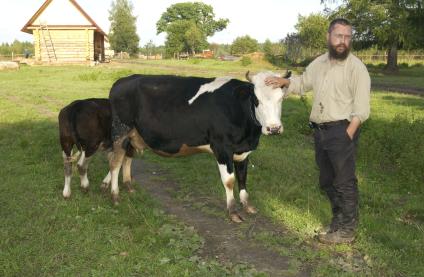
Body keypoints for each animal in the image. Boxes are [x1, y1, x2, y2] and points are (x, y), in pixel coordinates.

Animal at [107, 71, 290, 222]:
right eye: (256, 100)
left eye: (281, 99)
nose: (274, 128)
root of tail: (123, 80)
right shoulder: (222, 147)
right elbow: (229, 180)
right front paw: (232, 211)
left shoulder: (243, 151)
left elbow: (243, 177)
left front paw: (247, 205)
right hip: (121, 130)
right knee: (115, 162)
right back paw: (115, 195)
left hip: (133, 135)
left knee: (127, 158)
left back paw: (128, 187)